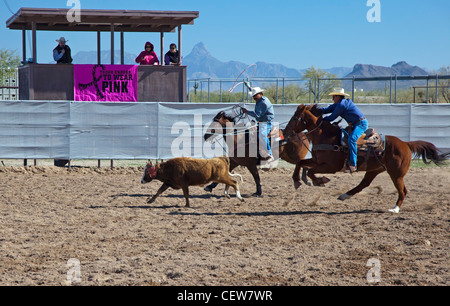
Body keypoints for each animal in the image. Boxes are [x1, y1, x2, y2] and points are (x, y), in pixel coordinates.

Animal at [286, 104, 448, 214]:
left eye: (295, 117)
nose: (286, 131)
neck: (325, 136)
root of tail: (405, 143)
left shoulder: (331, 167)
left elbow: (311, 171)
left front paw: (319, 181)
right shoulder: (317, 161)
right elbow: (301, 163)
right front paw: (298, 180)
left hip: (396, 174)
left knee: (403, 191)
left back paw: (394, 209)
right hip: (375, 169)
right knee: (364, 183)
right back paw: (344, 195)